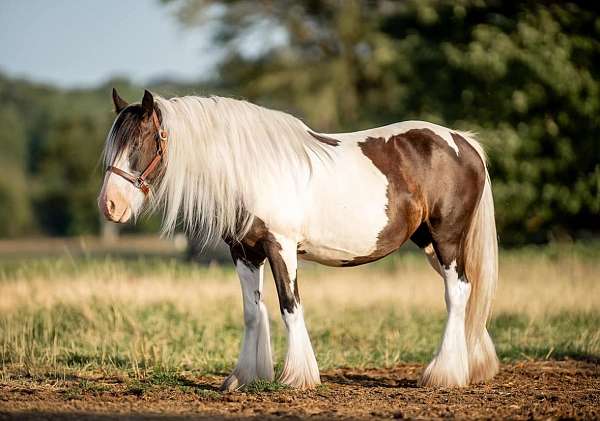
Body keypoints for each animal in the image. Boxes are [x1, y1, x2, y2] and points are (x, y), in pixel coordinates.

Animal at [98, 88, 500, 390]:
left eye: (141, 142)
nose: (110, 205)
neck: (252, 169)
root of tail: (463, 142)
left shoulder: (282, 247)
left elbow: (289, 305)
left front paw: (298, 377)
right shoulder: (244, 252)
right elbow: (252, 311)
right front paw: (245, 377)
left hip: (446, 240)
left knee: (457, 293)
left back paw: (444, 374)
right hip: (430, 243)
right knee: (468, 294)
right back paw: (472, 367)